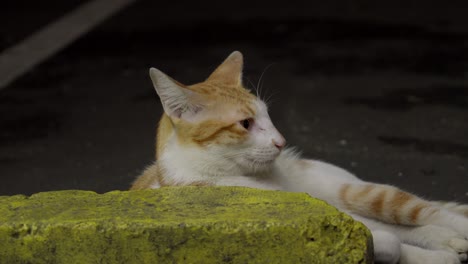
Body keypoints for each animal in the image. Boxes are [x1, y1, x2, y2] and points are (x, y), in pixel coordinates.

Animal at [130, 50, 468, 262]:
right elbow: (390, 242)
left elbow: (397, 231)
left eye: (267, 115)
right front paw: (436, 256)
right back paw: (447, 242)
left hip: (354, 192)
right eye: (245, 124)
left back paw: (450, 232)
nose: (281, 142)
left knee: (423, 213)